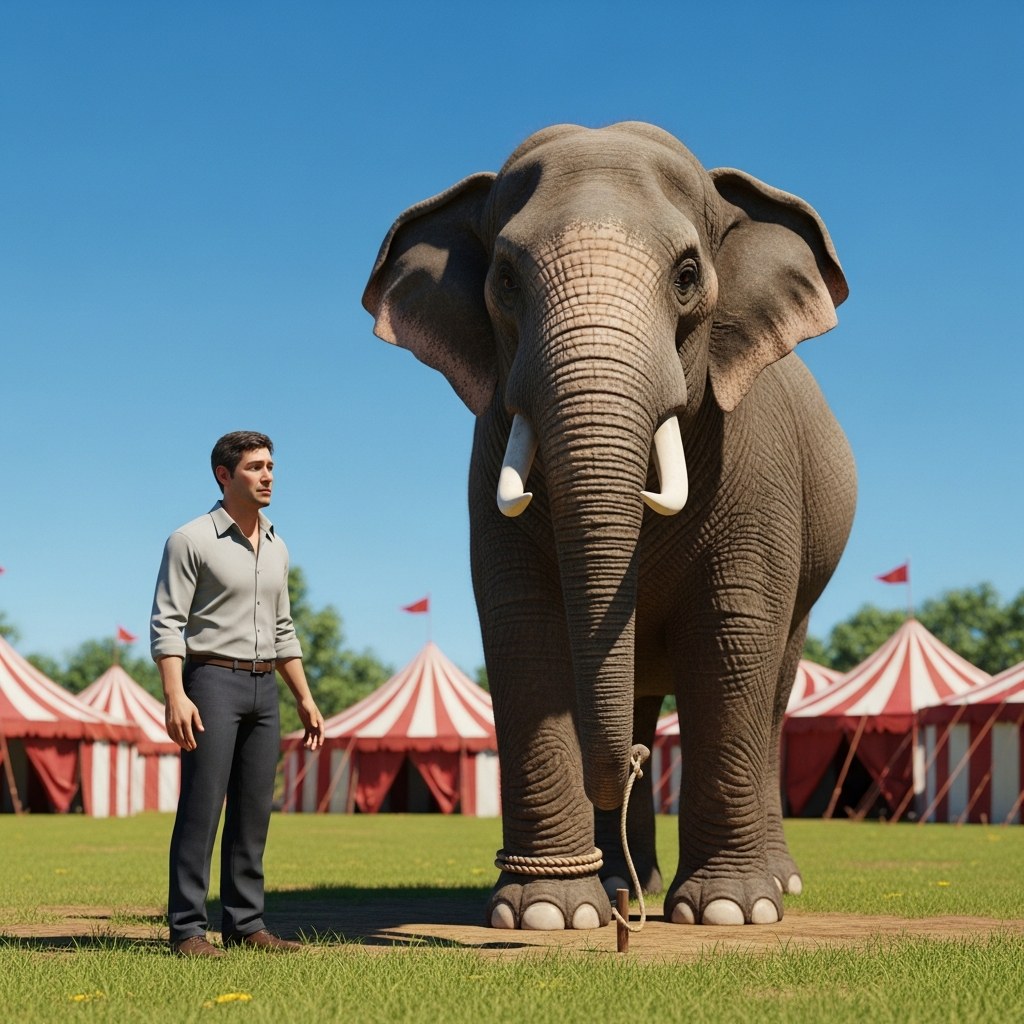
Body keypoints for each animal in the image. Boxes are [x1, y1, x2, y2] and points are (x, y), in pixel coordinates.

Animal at [362, 122, 856, 929]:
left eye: (687, 275)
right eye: (505, 279)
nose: (631, 767)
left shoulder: (761, 468)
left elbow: (733, 633)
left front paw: (728, 911)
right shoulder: (490, 453)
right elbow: (524, 628)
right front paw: (548, 913)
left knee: (775, 688)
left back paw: (771, 887)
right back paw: (628, 884)